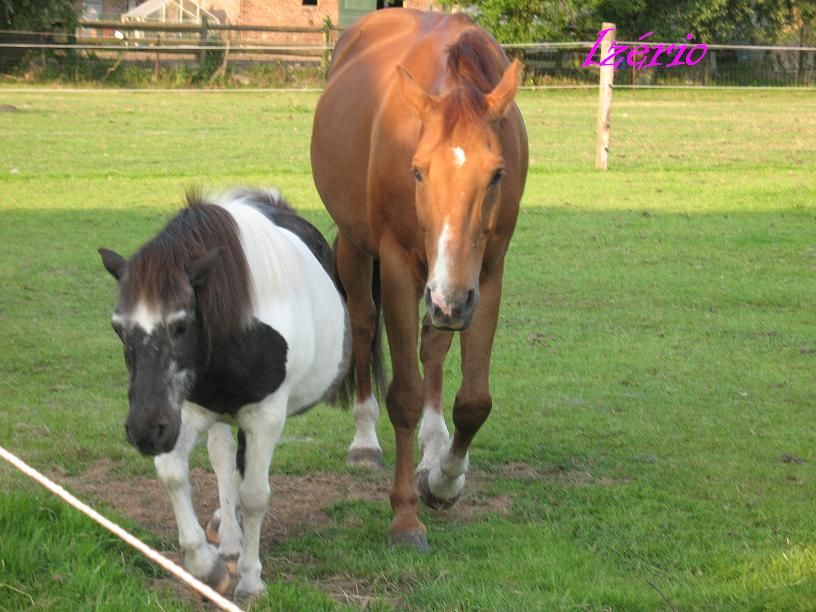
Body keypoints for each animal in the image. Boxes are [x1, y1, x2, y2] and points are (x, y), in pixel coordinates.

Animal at [98, 188, 351, 599]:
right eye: (119, 328)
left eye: (181, 325)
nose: (145, 430)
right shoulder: (185, 411)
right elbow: (174, 473)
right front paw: (209, 566)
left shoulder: (265, 417)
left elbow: (255, 495)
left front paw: (250, 578)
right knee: (222, 457)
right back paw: (228, 536)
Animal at [311, 8, 528, 551]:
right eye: (418, 172)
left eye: (496, 174)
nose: (451, 303)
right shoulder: (399, 269)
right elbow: (404, 395)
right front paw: (406, 517)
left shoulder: (485, 275)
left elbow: (473, 400)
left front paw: (445, 480)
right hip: (360, 250)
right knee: (363, 327)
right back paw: (365, 440)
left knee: (433, 346)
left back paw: (434, 445)